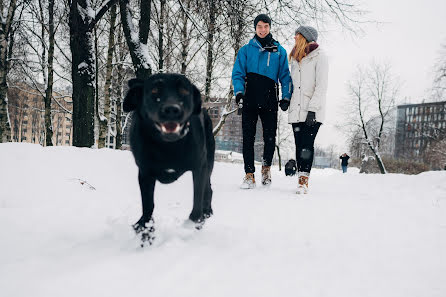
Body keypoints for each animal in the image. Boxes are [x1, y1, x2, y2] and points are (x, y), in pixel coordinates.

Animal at [123, 73, 215, 244]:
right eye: (154, 91)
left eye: (184, 91)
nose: (171, 109)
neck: (168, 146)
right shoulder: (145, 172)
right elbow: (148, 206)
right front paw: (146, 232)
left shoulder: (199, 167)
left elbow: (197, 201)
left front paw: (193, 224)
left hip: (209, 161)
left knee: (208, 190)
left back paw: (206, 212)